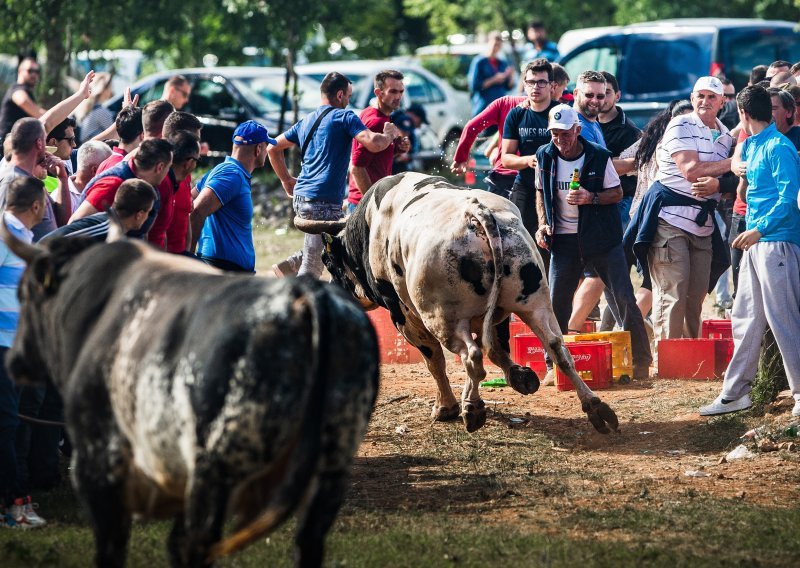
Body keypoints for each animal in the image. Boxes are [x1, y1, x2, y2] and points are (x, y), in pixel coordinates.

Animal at [1, 224, 382, 564]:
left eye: (25, 293)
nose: (15, 361)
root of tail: (304, 299)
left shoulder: (99, 467)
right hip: (330, 469)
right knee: (308, 542)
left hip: (215, 465)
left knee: (194, 544)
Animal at [318, 173, 620, 434]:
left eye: (329, 263)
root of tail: (476, 213)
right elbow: (497, 348)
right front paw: (520, 376)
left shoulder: (403, 316)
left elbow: (435, 360)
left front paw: (446, 407)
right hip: (534, 303)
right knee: (558, 348)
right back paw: (595, 407)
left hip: (445, 320)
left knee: (471, 356)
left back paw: (471, 408)